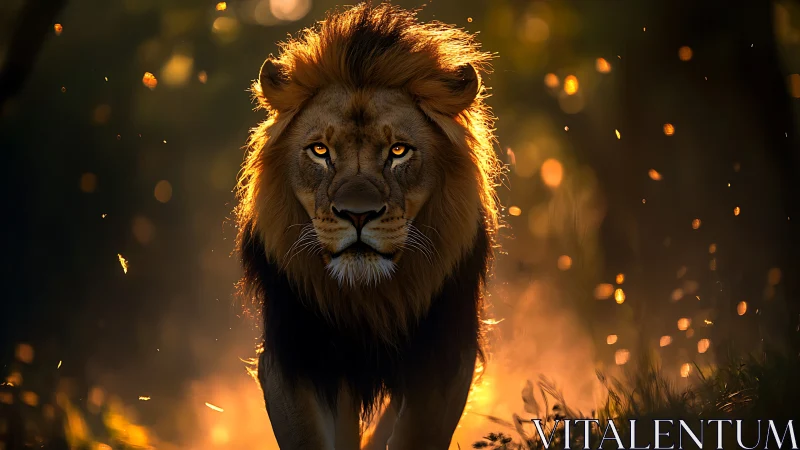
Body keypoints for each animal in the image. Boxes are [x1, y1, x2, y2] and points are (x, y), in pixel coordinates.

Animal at [235, 3, 501, 449]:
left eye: (398, 151)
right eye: (320, 150)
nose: (357, 215)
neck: (368, 298)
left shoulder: (444, 356)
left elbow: (417, 435)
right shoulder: (295, 354)